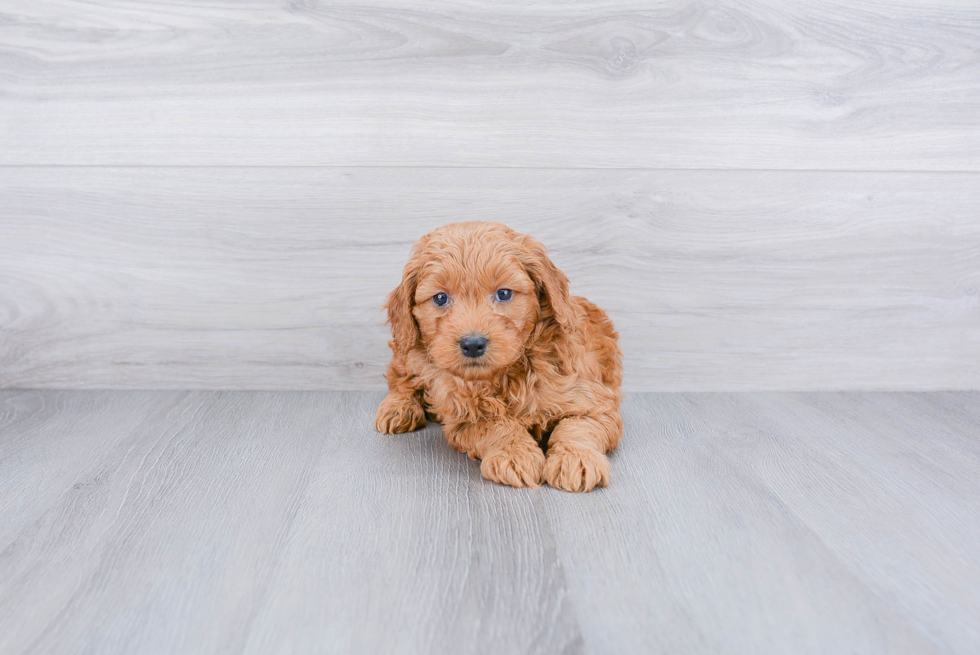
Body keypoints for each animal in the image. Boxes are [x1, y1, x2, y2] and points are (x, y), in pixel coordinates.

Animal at [374, 222, 620, 492]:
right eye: (440, 298)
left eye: (503, 294)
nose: (472, 344)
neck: (509, 373)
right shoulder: (465, 416)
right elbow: (496, 426)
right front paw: (514, 454)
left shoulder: (593, 399)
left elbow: (578, 426)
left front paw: (577, 459)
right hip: (409, 349)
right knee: (401, 379)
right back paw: (399, 408)